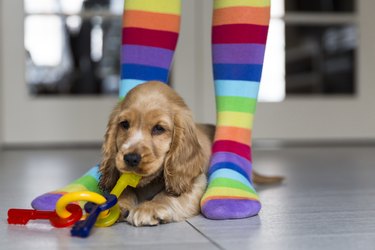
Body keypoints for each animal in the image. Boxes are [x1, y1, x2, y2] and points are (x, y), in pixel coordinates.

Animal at [100, 80, 282, 227]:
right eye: (124, 124)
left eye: (159, 128)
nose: (130, 158)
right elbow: (123, 190)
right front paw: (119, 204)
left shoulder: (196, 181)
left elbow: (168, 196)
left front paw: (150, 207)